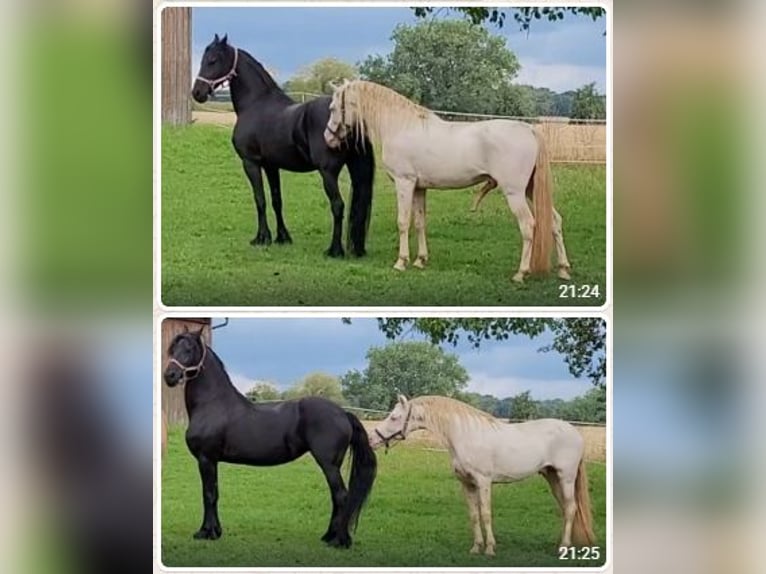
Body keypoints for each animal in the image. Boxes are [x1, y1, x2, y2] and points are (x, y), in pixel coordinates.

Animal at [162, 328, 377, 547]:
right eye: (172, 348)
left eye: (189, 349)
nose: (169, 375)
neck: (213, 404)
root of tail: (343, 413)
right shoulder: (211, 461)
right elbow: (213, 493)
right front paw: (215, 531)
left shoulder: (206, 459)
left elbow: (209, 495)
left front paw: (207, 532)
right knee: (336, 497)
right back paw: (329, 536)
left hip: (329, 464)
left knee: (341, 496)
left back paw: (339, 541)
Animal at [191, 35, 376, 258]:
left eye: (213, 60)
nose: (197, 93)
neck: (256, 103)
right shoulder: (271, 166)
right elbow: (276, 200)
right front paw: (282, 237)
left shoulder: (250, 163)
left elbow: (260, 199)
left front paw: (261, 238)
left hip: (328, 172)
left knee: (338, 205)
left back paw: (334, 250)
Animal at [323, 79, 572, 283]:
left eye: (333, 108)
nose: (328, 138)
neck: (400, 126)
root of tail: (529, 129)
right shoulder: (419, 188)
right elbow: (419, 222)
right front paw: (420, 260)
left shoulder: (404, 183)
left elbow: (402, 222)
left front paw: (401, 262)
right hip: (531, 190)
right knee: (555, 221)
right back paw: (563, 269)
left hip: (515, 193)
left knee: (528, 225)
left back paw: (520, 273)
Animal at [370, 395, 594, 555]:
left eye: (394, 417)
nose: (372, 439)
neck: (465, 436)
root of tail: (575, 432)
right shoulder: (467, 484)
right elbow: (473, 515)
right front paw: (476, 547)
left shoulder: (484, 482)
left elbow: (485, 514)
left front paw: (490, 549)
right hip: (552, 477)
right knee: (565, 508)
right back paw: (561, 545)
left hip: (566, 477)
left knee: (571, 508)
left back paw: (563, 546)